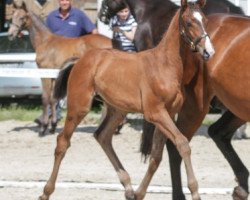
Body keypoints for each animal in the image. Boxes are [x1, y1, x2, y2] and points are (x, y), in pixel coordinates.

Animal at [7, 1, 112, 136]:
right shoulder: (53, 75)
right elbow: (53, 99)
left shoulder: (44, 74)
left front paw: (43, 128)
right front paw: (52, 126)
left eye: (22, 17)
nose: (10, 34)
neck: (45, 42)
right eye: (12, 17)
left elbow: (45, 98)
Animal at [39, 0, 215, 199]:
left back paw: (129, 187)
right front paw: (195, 191)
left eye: (205, 20)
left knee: (103, 136)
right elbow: (183, 144)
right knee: (63, 142)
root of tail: (80, 60)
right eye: (189, 22)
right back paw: (46, 192)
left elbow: (156, 156)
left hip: (117, 109)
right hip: (79, 107)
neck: (166, 65)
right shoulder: (155, 113)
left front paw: (139, 193)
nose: (208, 52)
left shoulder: (168, 114)